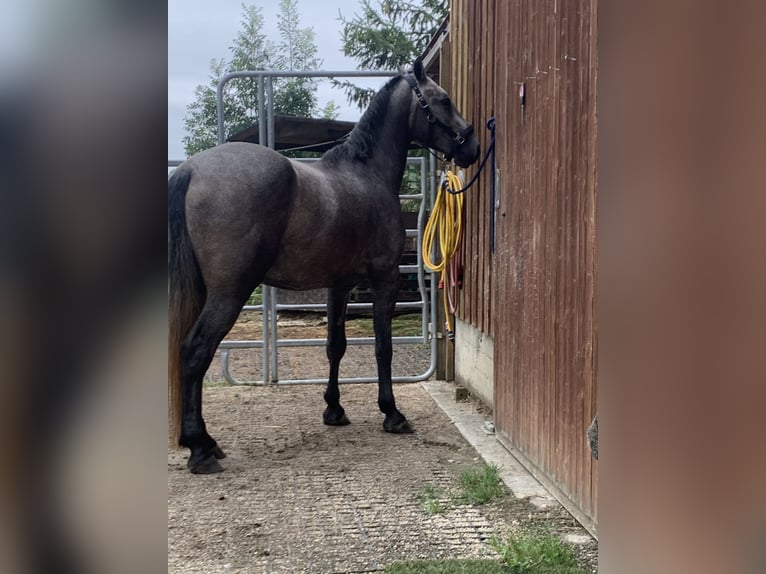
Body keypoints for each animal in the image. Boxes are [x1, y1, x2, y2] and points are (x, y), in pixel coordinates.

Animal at [169, 62, 480, 476]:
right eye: (443, 100)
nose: (471, 147)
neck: (366, 174)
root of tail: (190, 169)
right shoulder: (385, 279)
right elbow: (383, 347)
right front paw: (392, 413)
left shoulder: (339, 285)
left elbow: (335, 346)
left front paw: (334, 409)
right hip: (229, 292)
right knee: (195, 351)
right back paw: (200, 449)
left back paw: (207, 443)